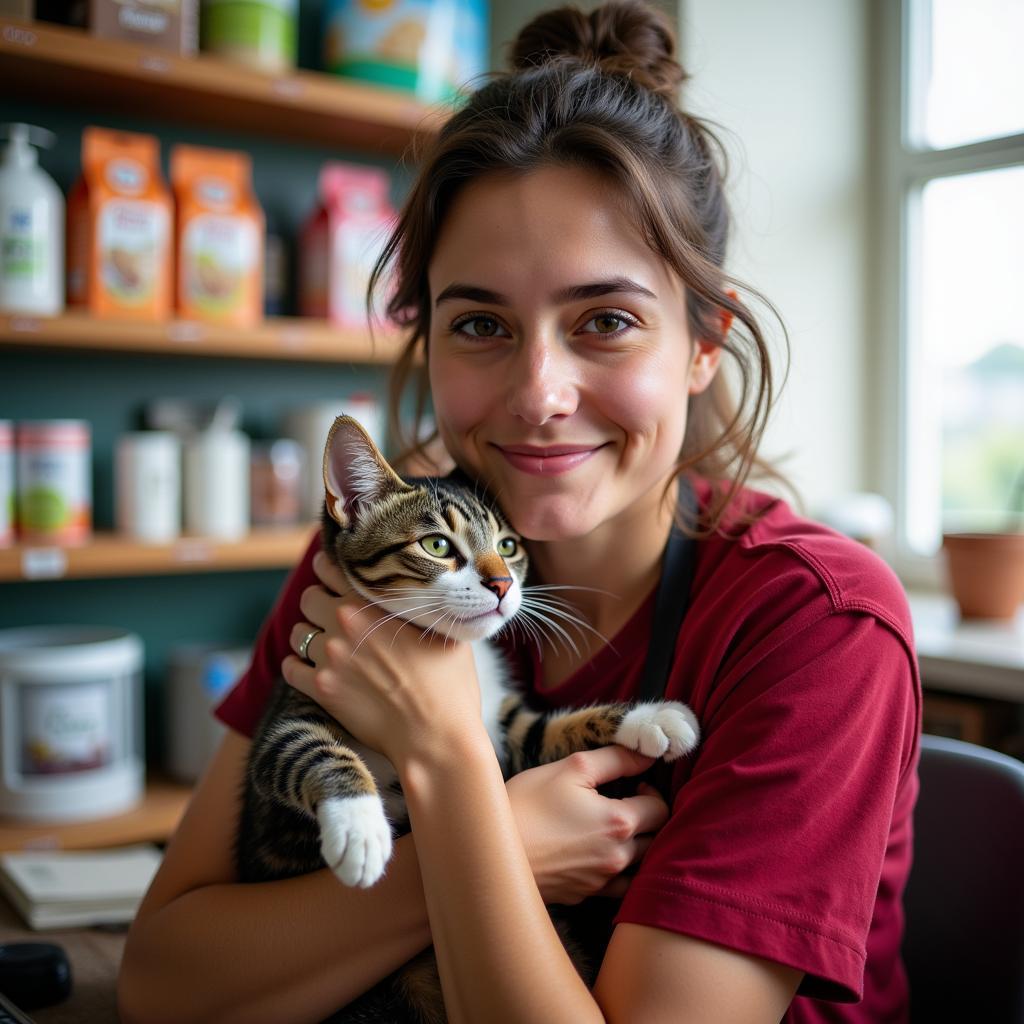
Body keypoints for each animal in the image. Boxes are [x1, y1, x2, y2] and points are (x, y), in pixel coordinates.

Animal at [235, 415, 700, 1024]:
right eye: (436, 545)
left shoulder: (501, 725)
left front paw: (653, 718)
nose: (502, 584)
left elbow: (544, 730)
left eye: (508, 546)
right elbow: (310, 749)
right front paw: (360, 829)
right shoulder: (294, 707)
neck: (462, 654)